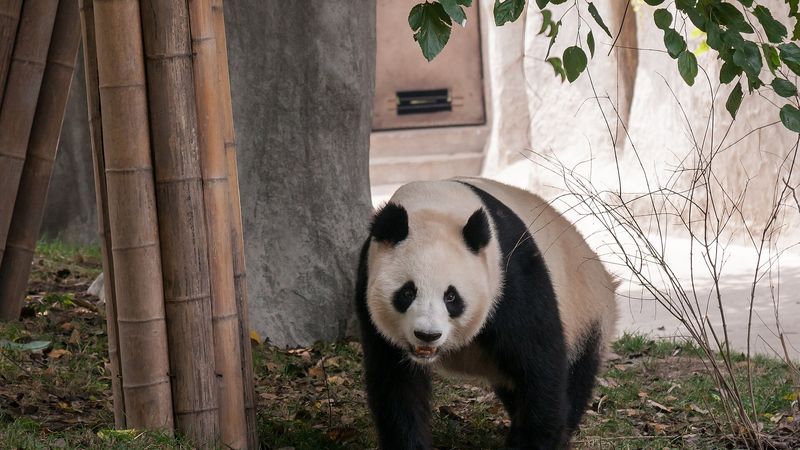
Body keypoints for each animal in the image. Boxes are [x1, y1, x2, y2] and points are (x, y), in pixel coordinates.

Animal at [354, 177, 618, 450]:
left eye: (451, 296)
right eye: (407, 292)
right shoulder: (367, 284)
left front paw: (532, 442)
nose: (427, 335)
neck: (434, 206)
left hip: (586, 315)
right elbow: (397, 385)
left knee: (575, 377)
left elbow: (540, 367)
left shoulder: (510, 278)